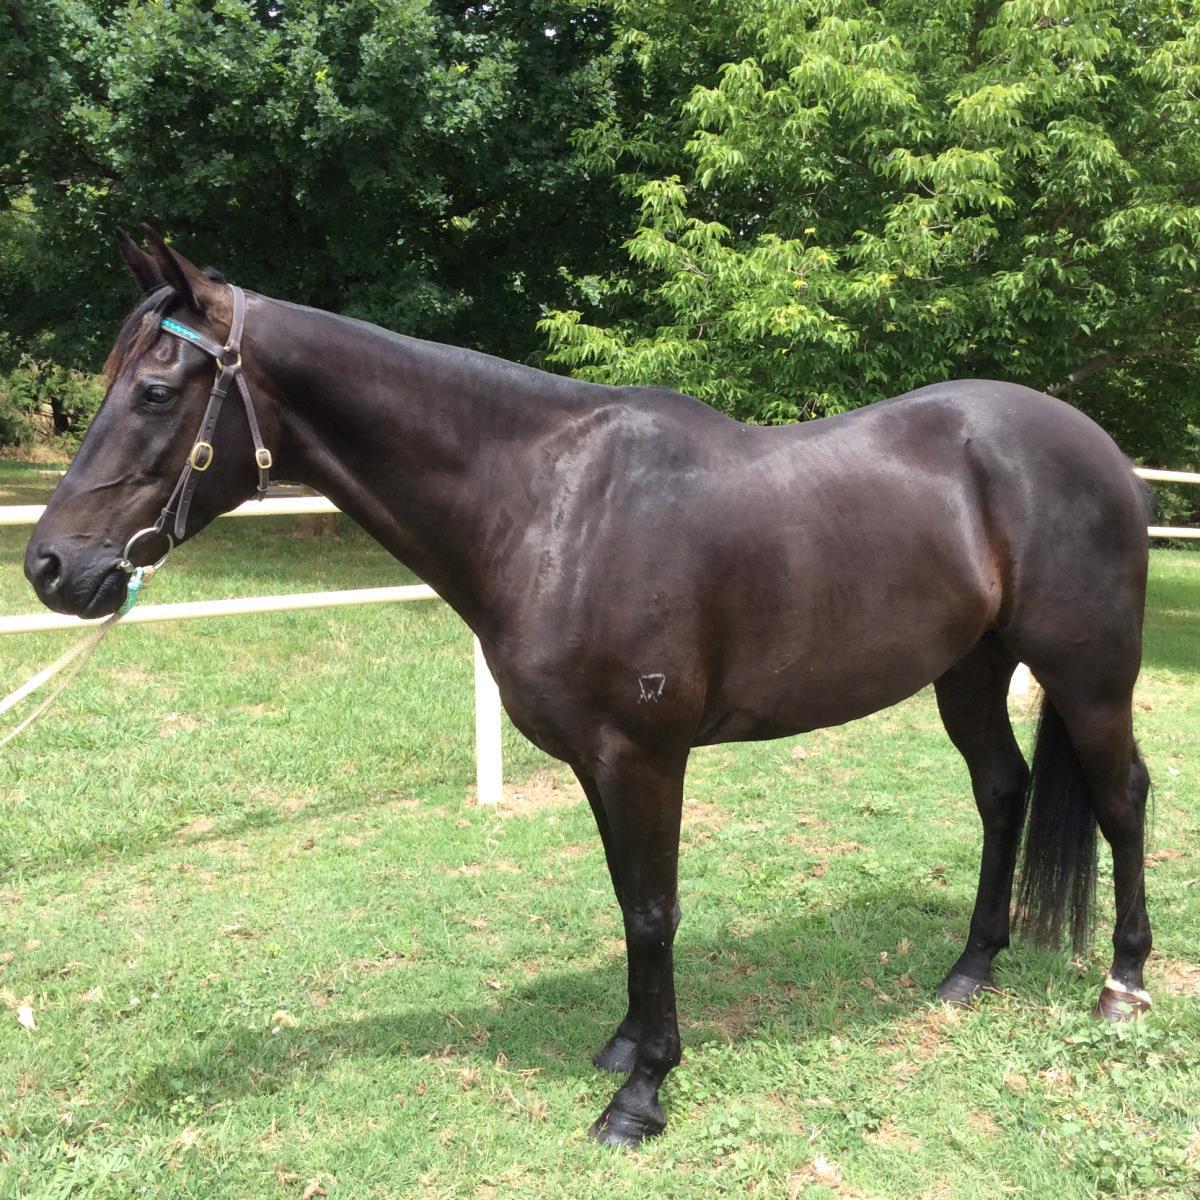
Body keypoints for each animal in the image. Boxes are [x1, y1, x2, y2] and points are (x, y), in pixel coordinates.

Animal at [24, 229, 1153, 1148]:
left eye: (156, 393)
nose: (50, 568)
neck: (551, 505)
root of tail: (1097, 446)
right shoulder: (599, 763)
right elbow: (625, 900)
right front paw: (624, 1043)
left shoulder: (641, 755)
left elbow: (653, 910)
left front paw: (640, 1096)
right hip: (970, 670)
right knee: (1002, 792)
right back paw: (970, 972)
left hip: (1088, 675)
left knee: (1121, 798)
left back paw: (1123, 986)